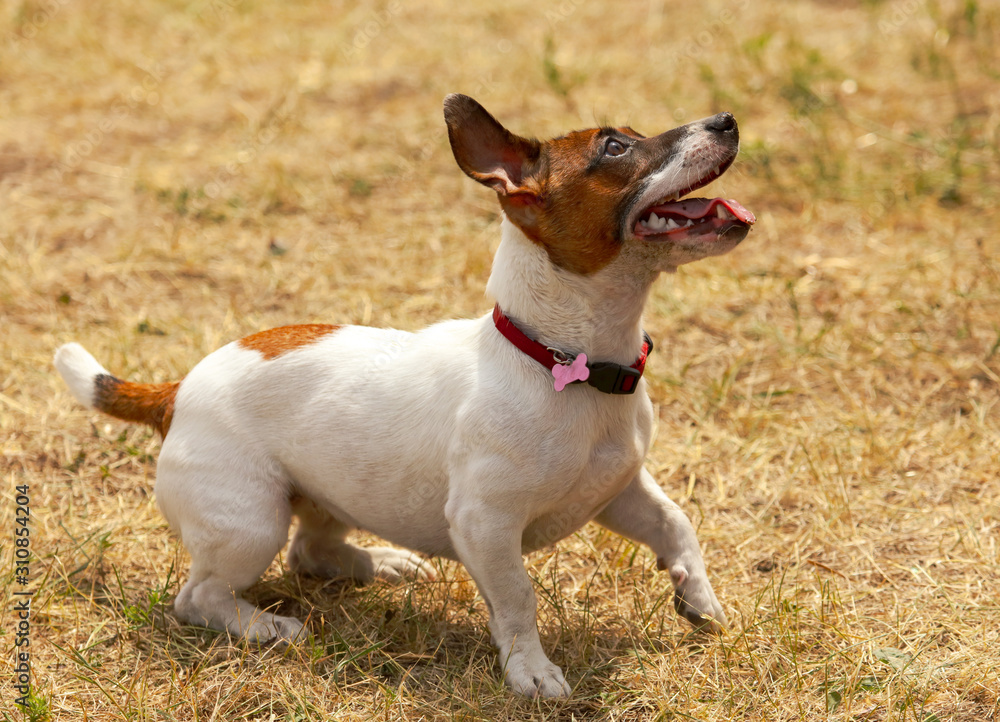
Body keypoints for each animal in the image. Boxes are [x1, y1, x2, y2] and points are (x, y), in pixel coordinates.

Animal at [54, 93, 752, 696]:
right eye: (614, 147)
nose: (726, 119)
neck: (564, 360)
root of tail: (175, 391)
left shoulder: (618, 490)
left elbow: (676, 521)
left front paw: (700, 597)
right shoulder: (486, 525)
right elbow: (517, 598)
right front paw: (531, 671)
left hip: (329, 494)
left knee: (312, 552)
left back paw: (383, 564)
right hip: (250, 522)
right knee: (200, 597)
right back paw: (267, 627)